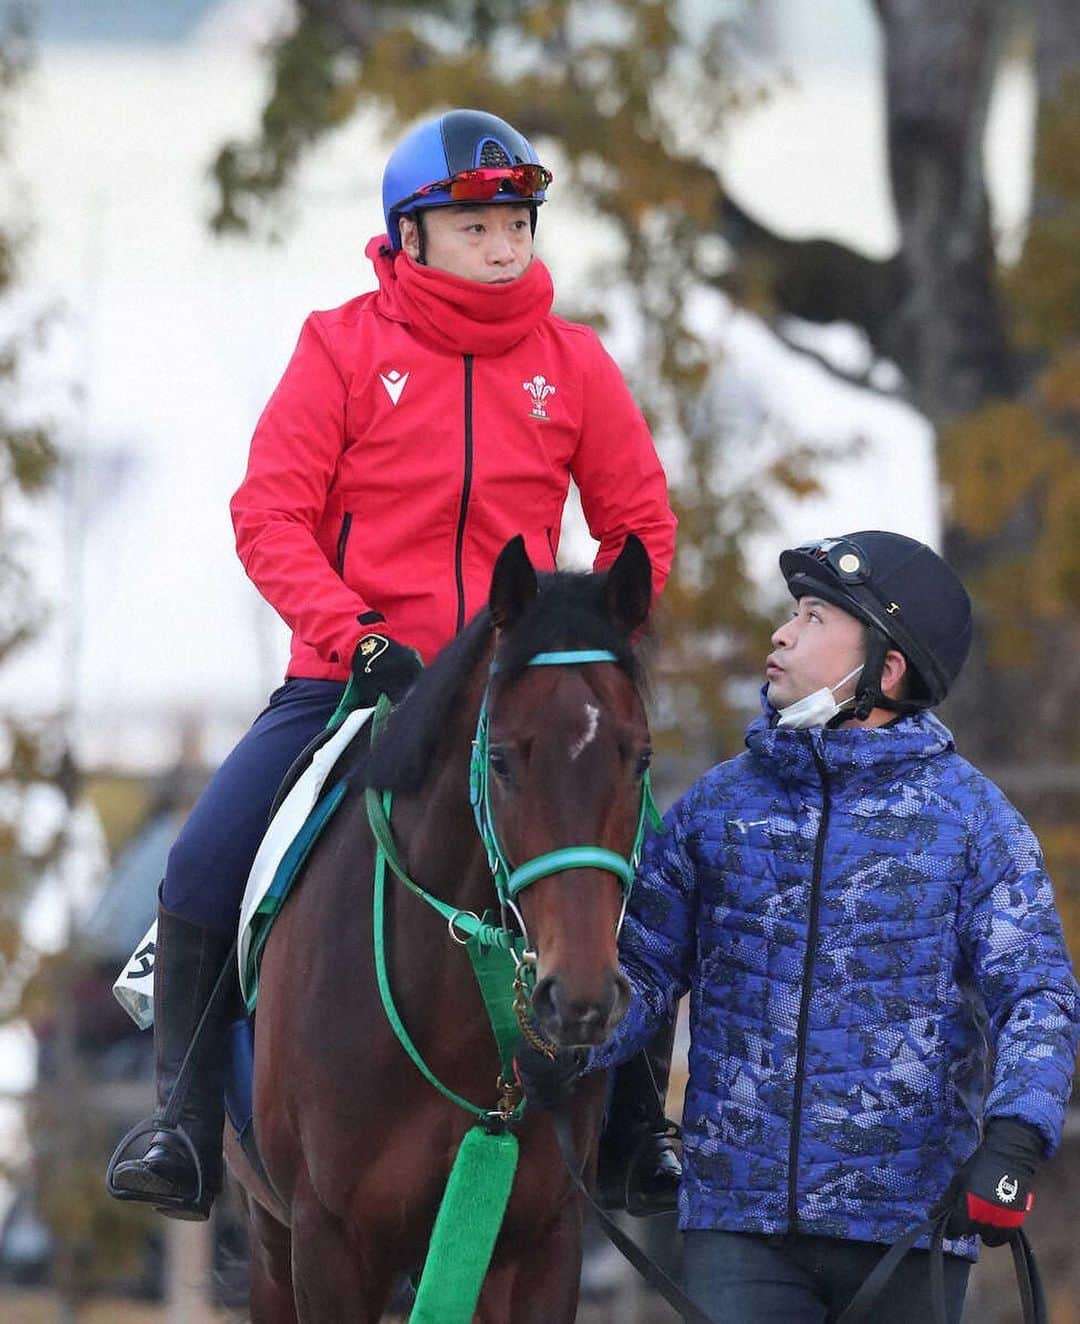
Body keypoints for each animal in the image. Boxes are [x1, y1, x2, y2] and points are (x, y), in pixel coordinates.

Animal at [227, 532, 659, 1318]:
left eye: (640, 758)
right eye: (501, 761)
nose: (577, 997)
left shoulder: (541, 1242)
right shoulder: (327, 1242)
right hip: (272, 1247)